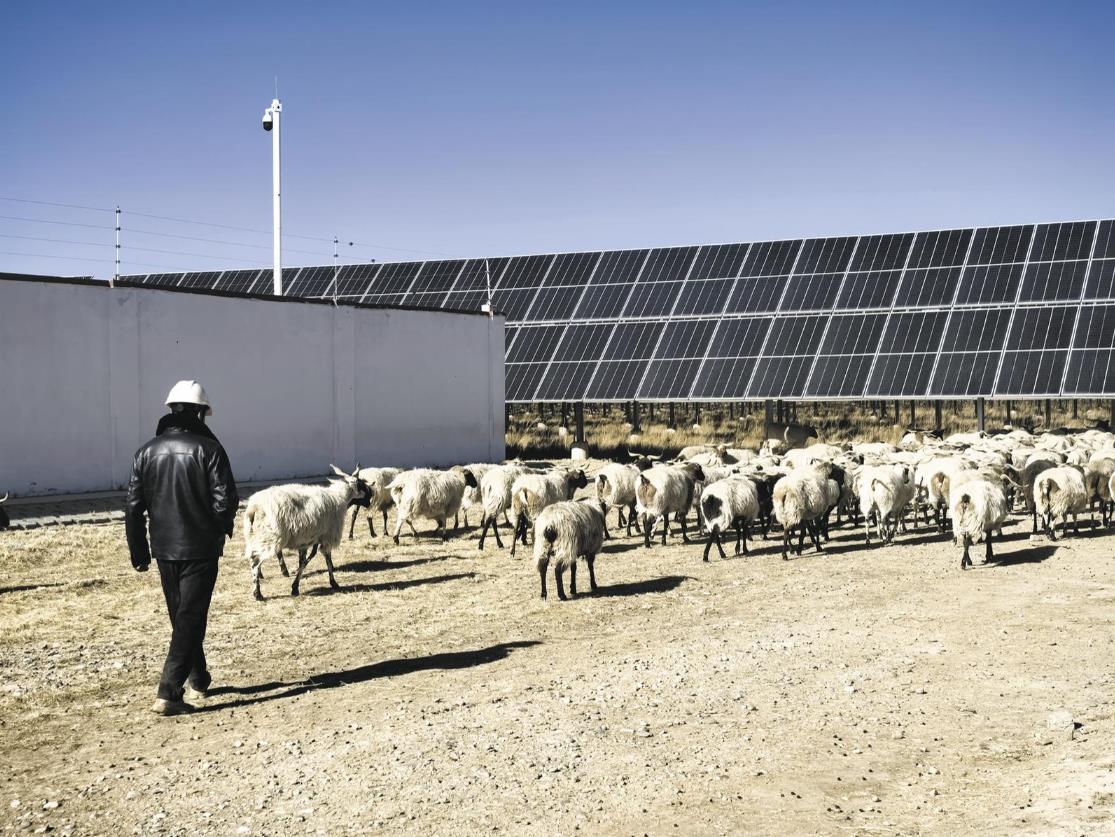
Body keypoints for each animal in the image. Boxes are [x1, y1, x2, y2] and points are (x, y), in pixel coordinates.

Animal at [243, 465, 371, 600]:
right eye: (361, 484)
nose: (371, 497)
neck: (339, 498)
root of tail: (254, 507)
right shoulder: (327, 537)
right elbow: (327, 560)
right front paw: (333, 583)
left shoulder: (306, 540)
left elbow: (304, 562)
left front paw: (295, 586)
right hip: (270, 537)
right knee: (255, 561)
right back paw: (257, 593)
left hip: (255, 537)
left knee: (254, 558)